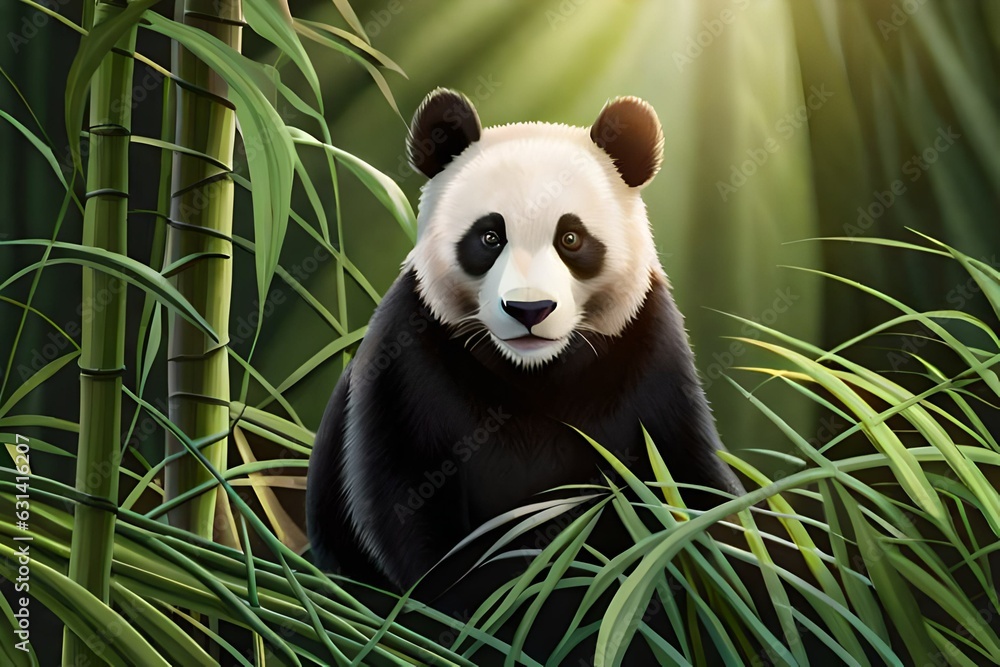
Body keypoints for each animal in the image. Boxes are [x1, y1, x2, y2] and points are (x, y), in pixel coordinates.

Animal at [306, 88, 744, 595]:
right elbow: (408, 498)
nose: (529, 310)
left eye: (571, 238)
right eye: (489, 237)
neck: (535, 371)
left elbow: (694, 484)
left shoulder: (647, 351)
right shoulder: (411, 353)